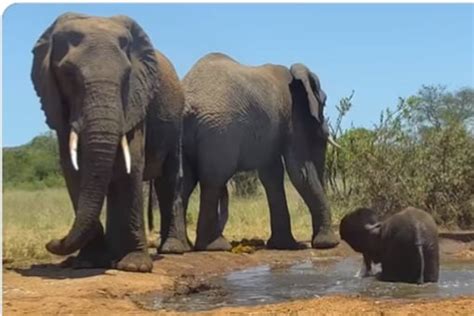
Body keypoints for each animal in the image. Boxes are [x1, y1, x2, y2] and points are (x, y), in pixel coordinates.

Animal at [31, 12, 187, 272]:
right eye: (68, 75)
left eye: (126, 76)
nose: (51, 242)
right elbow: (73, 170)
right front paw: (87, 263)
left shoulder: (136, 99)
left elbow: (132, 164)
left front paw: (134, 266)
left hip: (176, 121)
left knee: (168, 180)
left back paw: (172, 249)